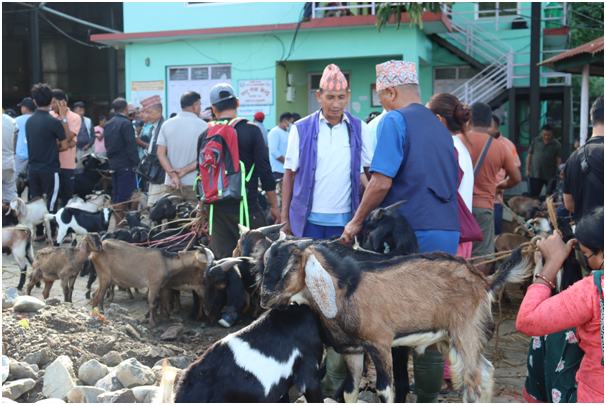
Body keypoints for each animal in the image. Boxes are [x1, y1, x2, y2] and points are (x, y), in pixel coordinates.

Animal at [258, 238, 536, 402]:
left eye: (293, 267)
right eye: (264, 263)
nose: (265, 296)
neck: (345, 290)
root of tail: (485, 281)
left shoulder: (380, 344)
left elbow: (385, 390)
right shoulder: (352, 350)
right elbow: (350, 389)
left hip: (465, 331)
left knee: (472, 383)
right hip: (454, 336)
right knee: (485, 372)